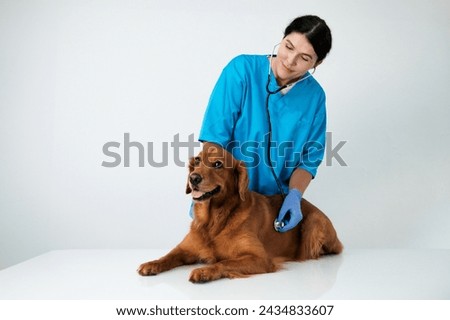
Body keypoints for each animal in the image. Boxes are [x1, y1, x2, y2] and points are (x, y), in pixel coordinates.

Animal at [137, 142, 342, 282]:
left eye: (218, 164)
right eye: (197, 160)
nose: (193, 178)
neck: (214, 219)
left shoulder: (259, 258)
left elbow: (225, 262)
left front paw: (204, 271)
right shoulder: (185, 249)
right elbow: (168, 256)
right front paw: (151, 264)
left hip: (314, 223)